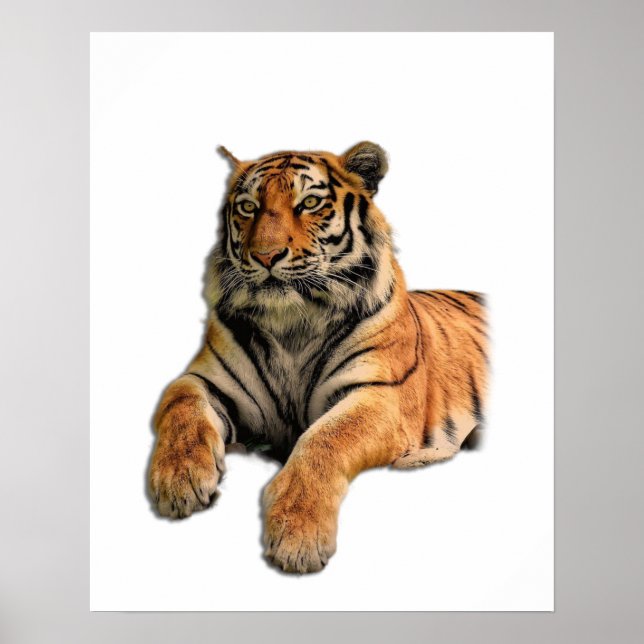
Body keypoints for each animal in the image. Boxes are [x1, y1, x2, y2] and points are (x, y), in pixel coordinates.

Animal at [148, 142, 489, 574]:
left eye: (309, 202)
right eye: (248, 207)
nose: (266, 255)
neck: (292, 322)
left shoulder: (381, 394)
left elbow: (327, 437)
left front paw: (298, 533)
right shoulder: (206, 378)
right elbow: (180, 404)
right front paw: (179, 479)